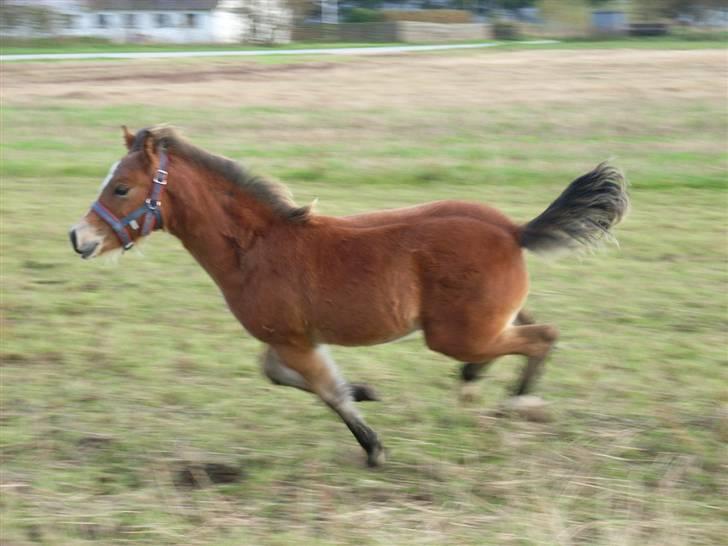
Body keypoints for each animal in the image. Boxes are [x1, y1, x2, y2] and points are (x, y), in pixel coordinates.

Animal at [70, 126, 629, 467]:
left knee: (542, 336)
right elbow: (278, 375)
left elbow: (325, 391)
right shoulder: (290, 338)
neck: (256, 246)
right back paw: (481, 381)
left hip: (457, 334)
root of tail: (514, 229)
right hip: (483, 323)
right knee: (525, 330)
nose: (79, 238)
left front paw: (373, 447)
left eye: (121, 188)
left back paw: (519, 402)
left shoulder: (293, 340)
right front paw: (366, 390)